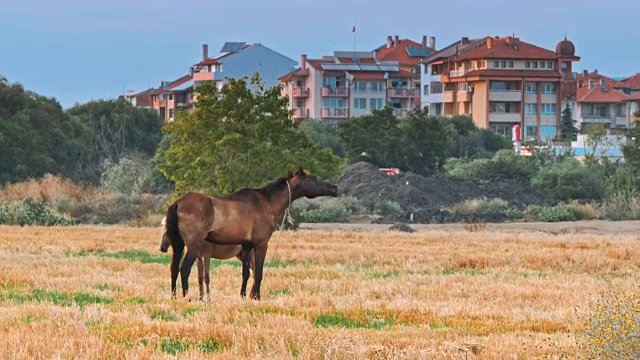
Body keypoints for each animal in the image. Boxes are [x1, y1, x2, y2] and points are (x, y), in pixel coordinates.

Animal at [162, 167, 338, 300]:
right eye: (314, 178)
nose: (335, 188)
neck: (266, 204)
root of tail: (177, 203)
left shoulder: (246, 246)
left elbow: (245, 273)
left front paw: (243, 295)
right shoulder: (261, 245)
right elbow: (258, 273)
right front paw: (256, 297)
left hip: (178, 246)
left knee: (173, 269)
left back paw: (174, 296)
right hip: (193, 246)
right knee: (184, 269)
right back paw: (186, 297)